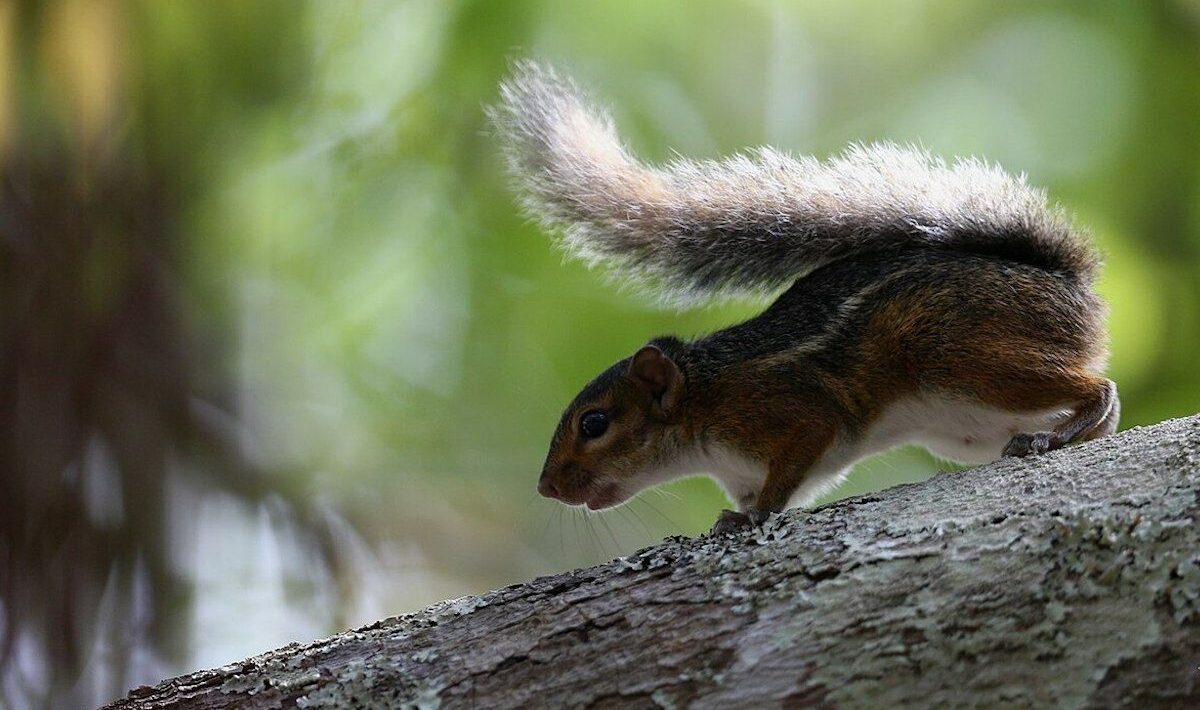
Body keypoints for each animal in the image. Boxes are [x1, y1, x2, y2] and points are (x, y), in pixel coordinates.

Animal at [491, 61, 1118, 535]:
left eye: (594, 423)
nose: (546, 487)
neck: (703, 400)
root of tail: (1072, 286)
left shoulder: (786, 413)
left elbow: (789, 471)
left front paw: (751, 519)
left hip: (970, 356)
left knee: (1099, 387)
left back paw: (1070, 426)